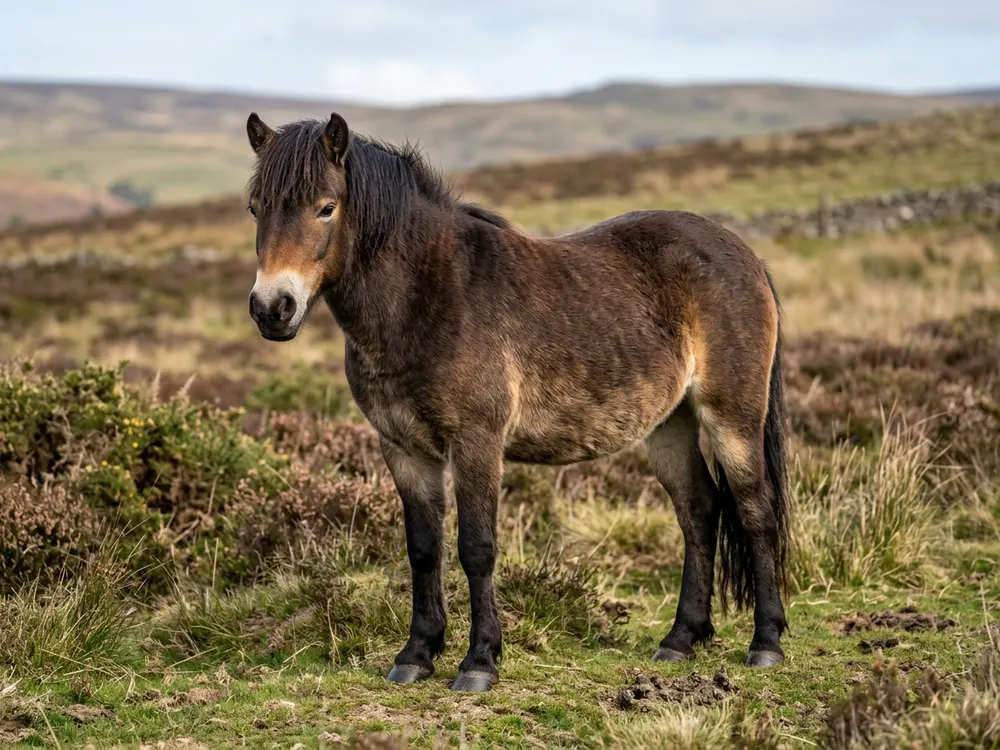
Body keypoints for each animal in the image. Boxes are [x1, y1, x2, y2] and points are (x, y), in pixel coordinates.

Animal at [243, 111, 791, 692]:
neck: (429, 296)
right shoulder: (404, 449)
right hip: (670, 425)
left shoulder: (477, 443)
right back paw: (680, 639)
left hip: (732, 417)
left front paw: (479, 661)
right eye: (255, 208)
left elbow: (476, 548)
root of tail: (744, 253)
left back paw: (765, 644)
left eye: (326, 207)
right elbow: (423, 549)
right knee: (700, 511)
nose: (272, 308)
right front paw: (416, 654)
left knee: (754, 511)